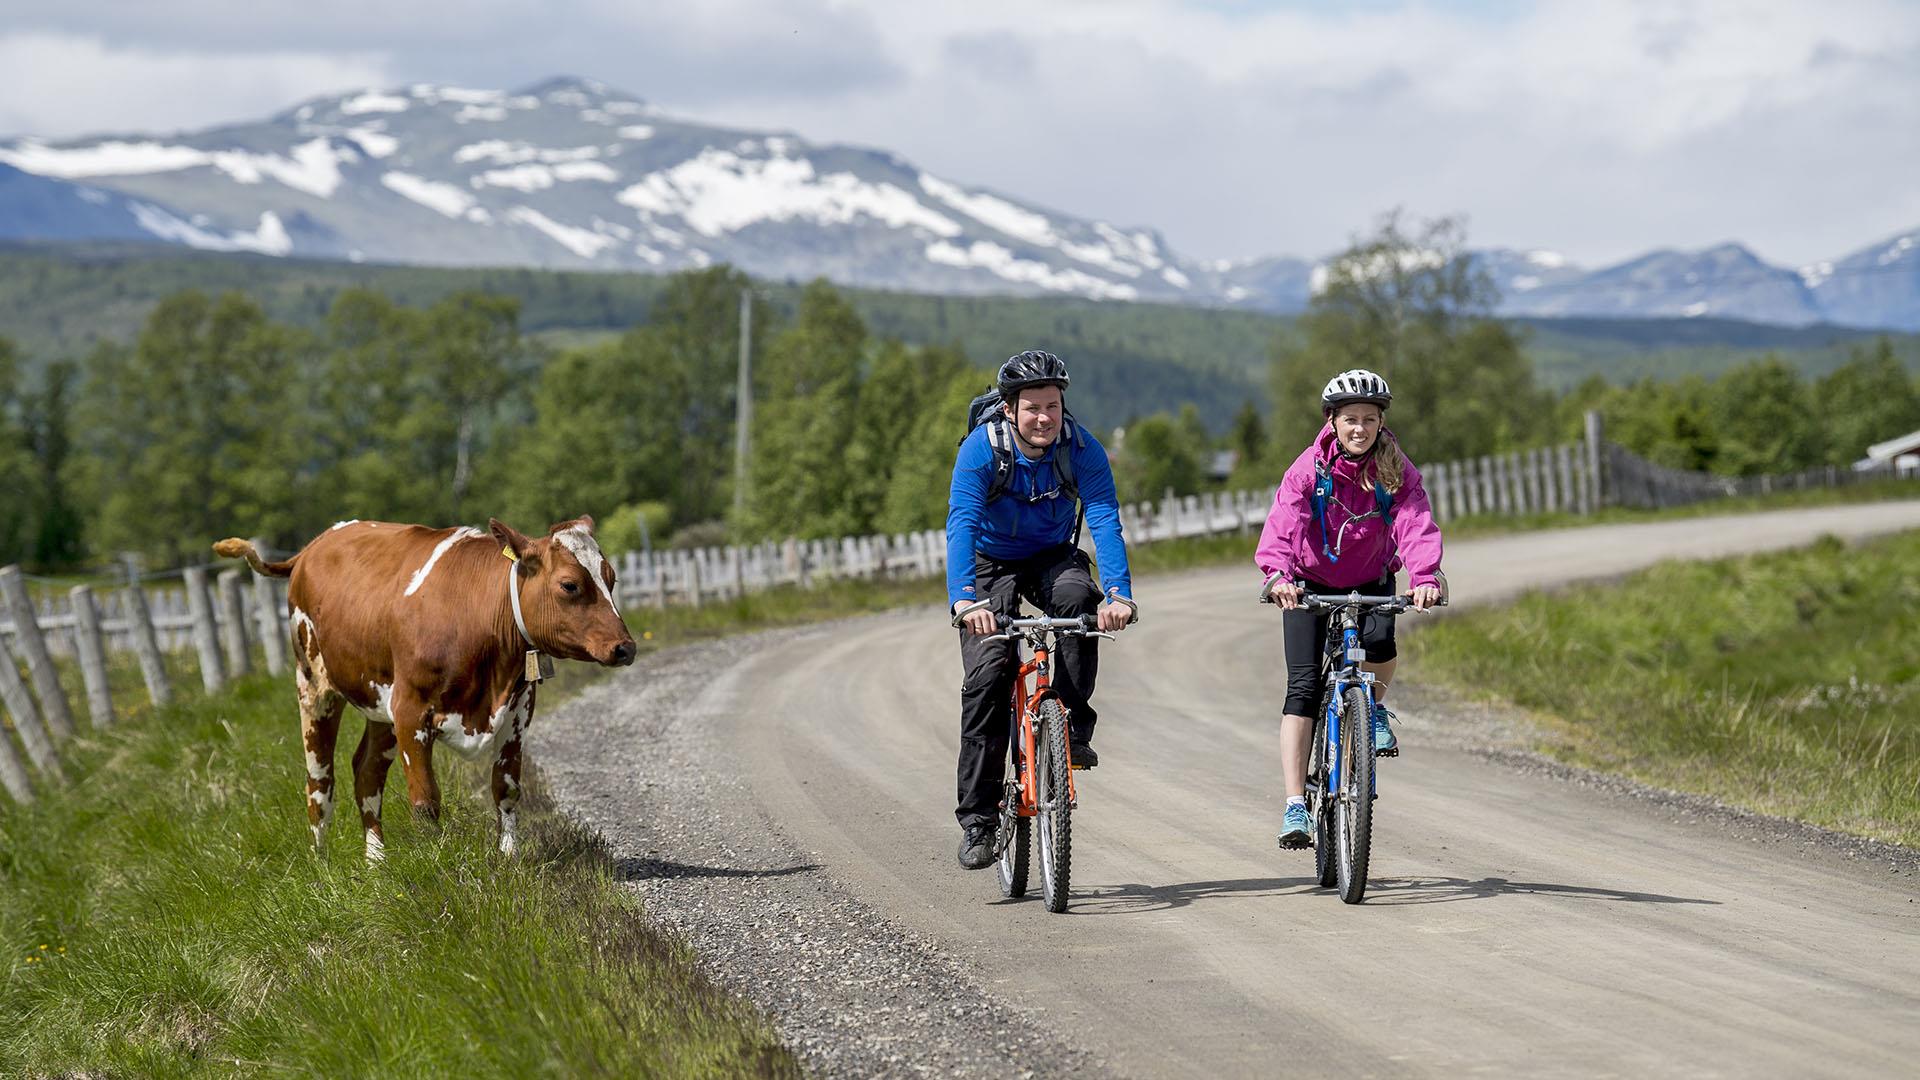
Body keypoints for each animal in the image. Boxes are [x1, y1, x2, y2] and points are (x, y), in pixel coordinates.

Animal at [215, 511, 637, 857]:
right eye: (569, 585)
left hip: (380, 704)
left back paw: (377, 863)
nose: (625, 647)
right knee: (319, 781)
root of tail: (309, 549)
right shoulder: (411, 712)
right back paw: (323, 867)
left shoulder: (518, 711)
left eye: (611, 579)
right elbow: (425, 800)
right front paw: (435, 866)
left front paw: (509, 859)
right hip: (315, 686)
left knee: (366, 771)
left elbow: (506, 788)